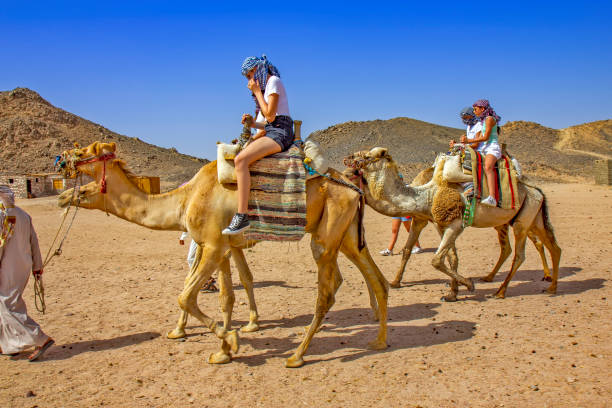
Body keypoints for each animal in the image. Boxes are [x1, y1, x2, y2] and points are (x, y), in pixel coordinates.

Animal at [57, 142, 388, 368]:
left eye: (85, 151)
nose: (62, 193)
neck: (185, 199)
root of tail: (354, 187)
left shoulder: (215, 245)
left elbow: (186, 295)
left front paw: (229, 340)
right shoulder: (218, 246)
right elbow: (225, 295)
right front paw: (221, 347)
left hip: (326, 236)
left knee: (327, 292)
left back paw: (297, 355)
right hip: (347, 236)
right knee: (376, 279)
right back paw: (379, 340)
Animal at [342, 147, 560, 300]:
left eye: (367, 156)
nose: (347, 160)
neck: (426, 195)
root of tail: (536, 190)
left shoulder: (455, 225)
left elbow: (437, 260)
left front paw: (468, 285)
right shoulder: (440, 225)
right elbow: (451, 258)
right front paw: (453, 293)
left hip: (523, 222)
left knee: (520, 254)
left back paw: (500, 291)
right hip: (530, 218)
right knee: (551, 247)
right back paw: (549, 286)